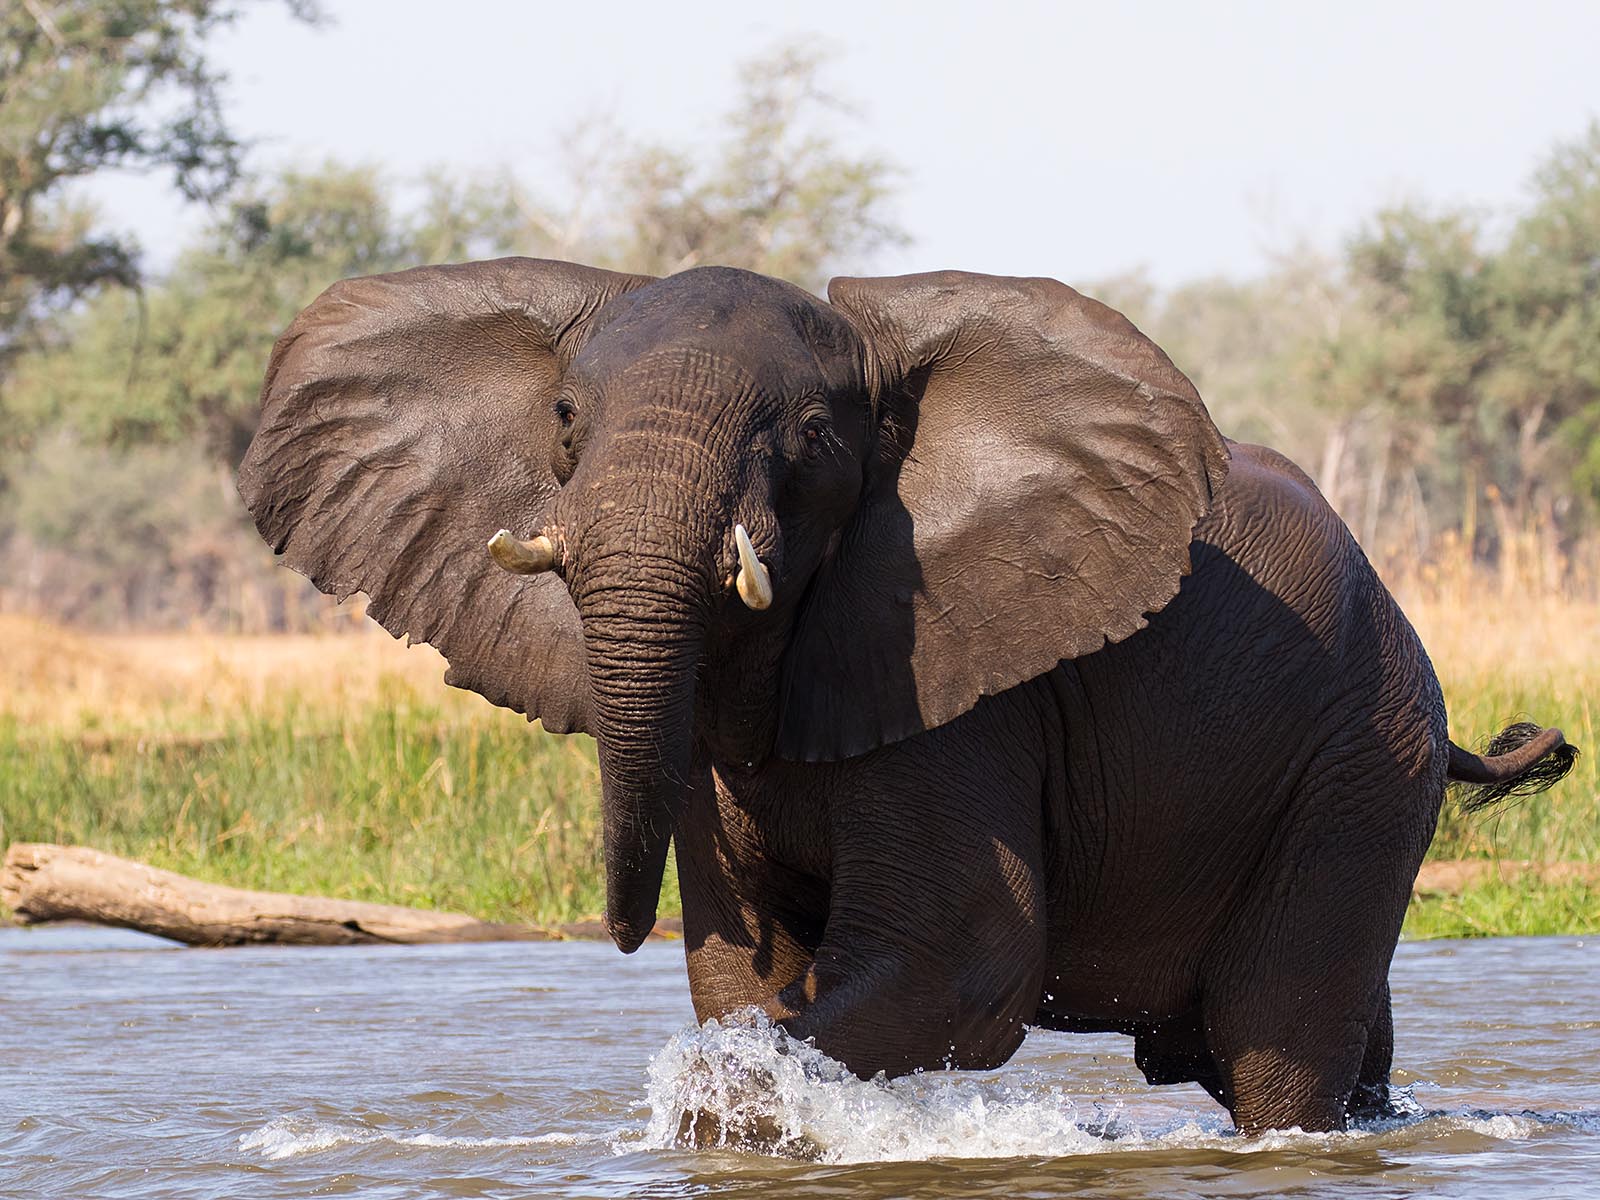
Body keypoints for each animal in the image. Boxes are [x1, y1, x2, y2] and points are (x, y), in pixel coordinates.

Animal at [237, 258, 1576, 1134]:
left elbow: (964, 956)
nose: (612, 928)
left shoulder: (949, 673)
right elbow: (745, 978)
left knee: (1271, 1043)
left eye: (811, 433)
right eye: (565, 417)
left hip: (1364, 763)